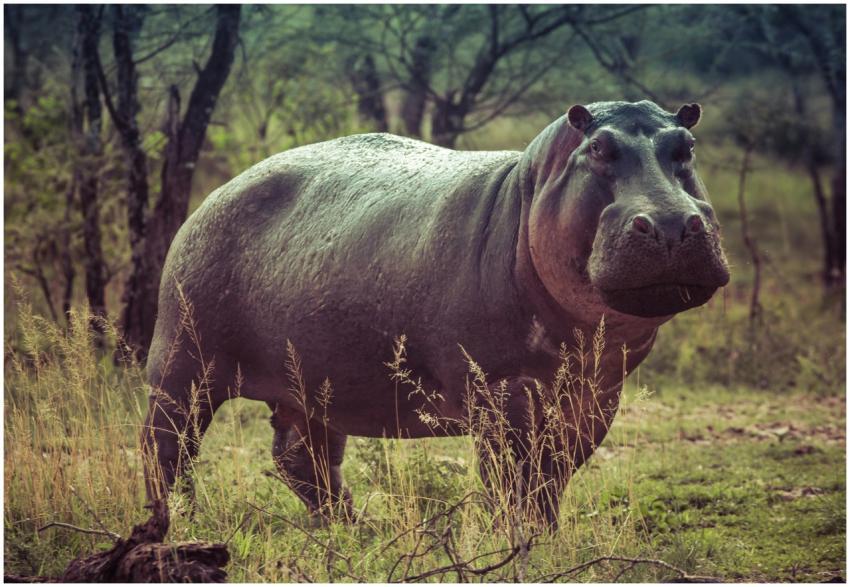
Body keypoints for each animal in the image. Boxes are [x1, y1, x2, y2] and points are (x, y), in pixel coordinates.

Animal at [142, 100, 729, 527]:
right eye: (599, 148)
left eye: (687, 147)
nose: (671, 223)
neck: (528, 192)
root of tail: (220, 189)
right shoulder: (500, 392)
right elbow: (511, 480)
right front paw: (518, 544)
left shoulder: (595, 394)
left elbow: (551, 479)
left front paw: (546, 537)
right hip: (183, 361)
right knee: (165, 446)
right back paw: (178, 524)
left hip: (310, 383)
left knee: (302, 458)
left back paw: (354, 529)